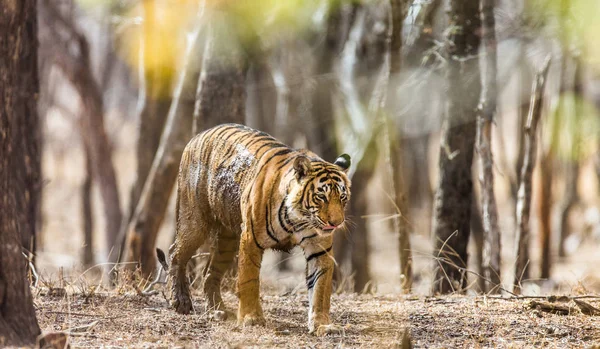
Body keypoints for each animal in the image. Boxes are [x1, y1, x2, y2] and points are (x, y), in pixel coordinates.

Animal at [158, 122, 352, 334]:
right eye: (321, 197)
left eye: (342, 197)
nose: (336, 223)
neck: (299, 219)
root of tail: (198, 135)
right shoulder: (251, 240)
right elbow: (249, 280)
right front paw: (251, 318)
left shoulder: (319, 248)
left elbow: (321, 288)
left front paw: (322, 324)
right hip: (195, 222)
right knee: (175, 254)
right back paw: (181, 302)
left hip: (227, 240)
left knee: (210, 272)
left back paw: (216, 310)